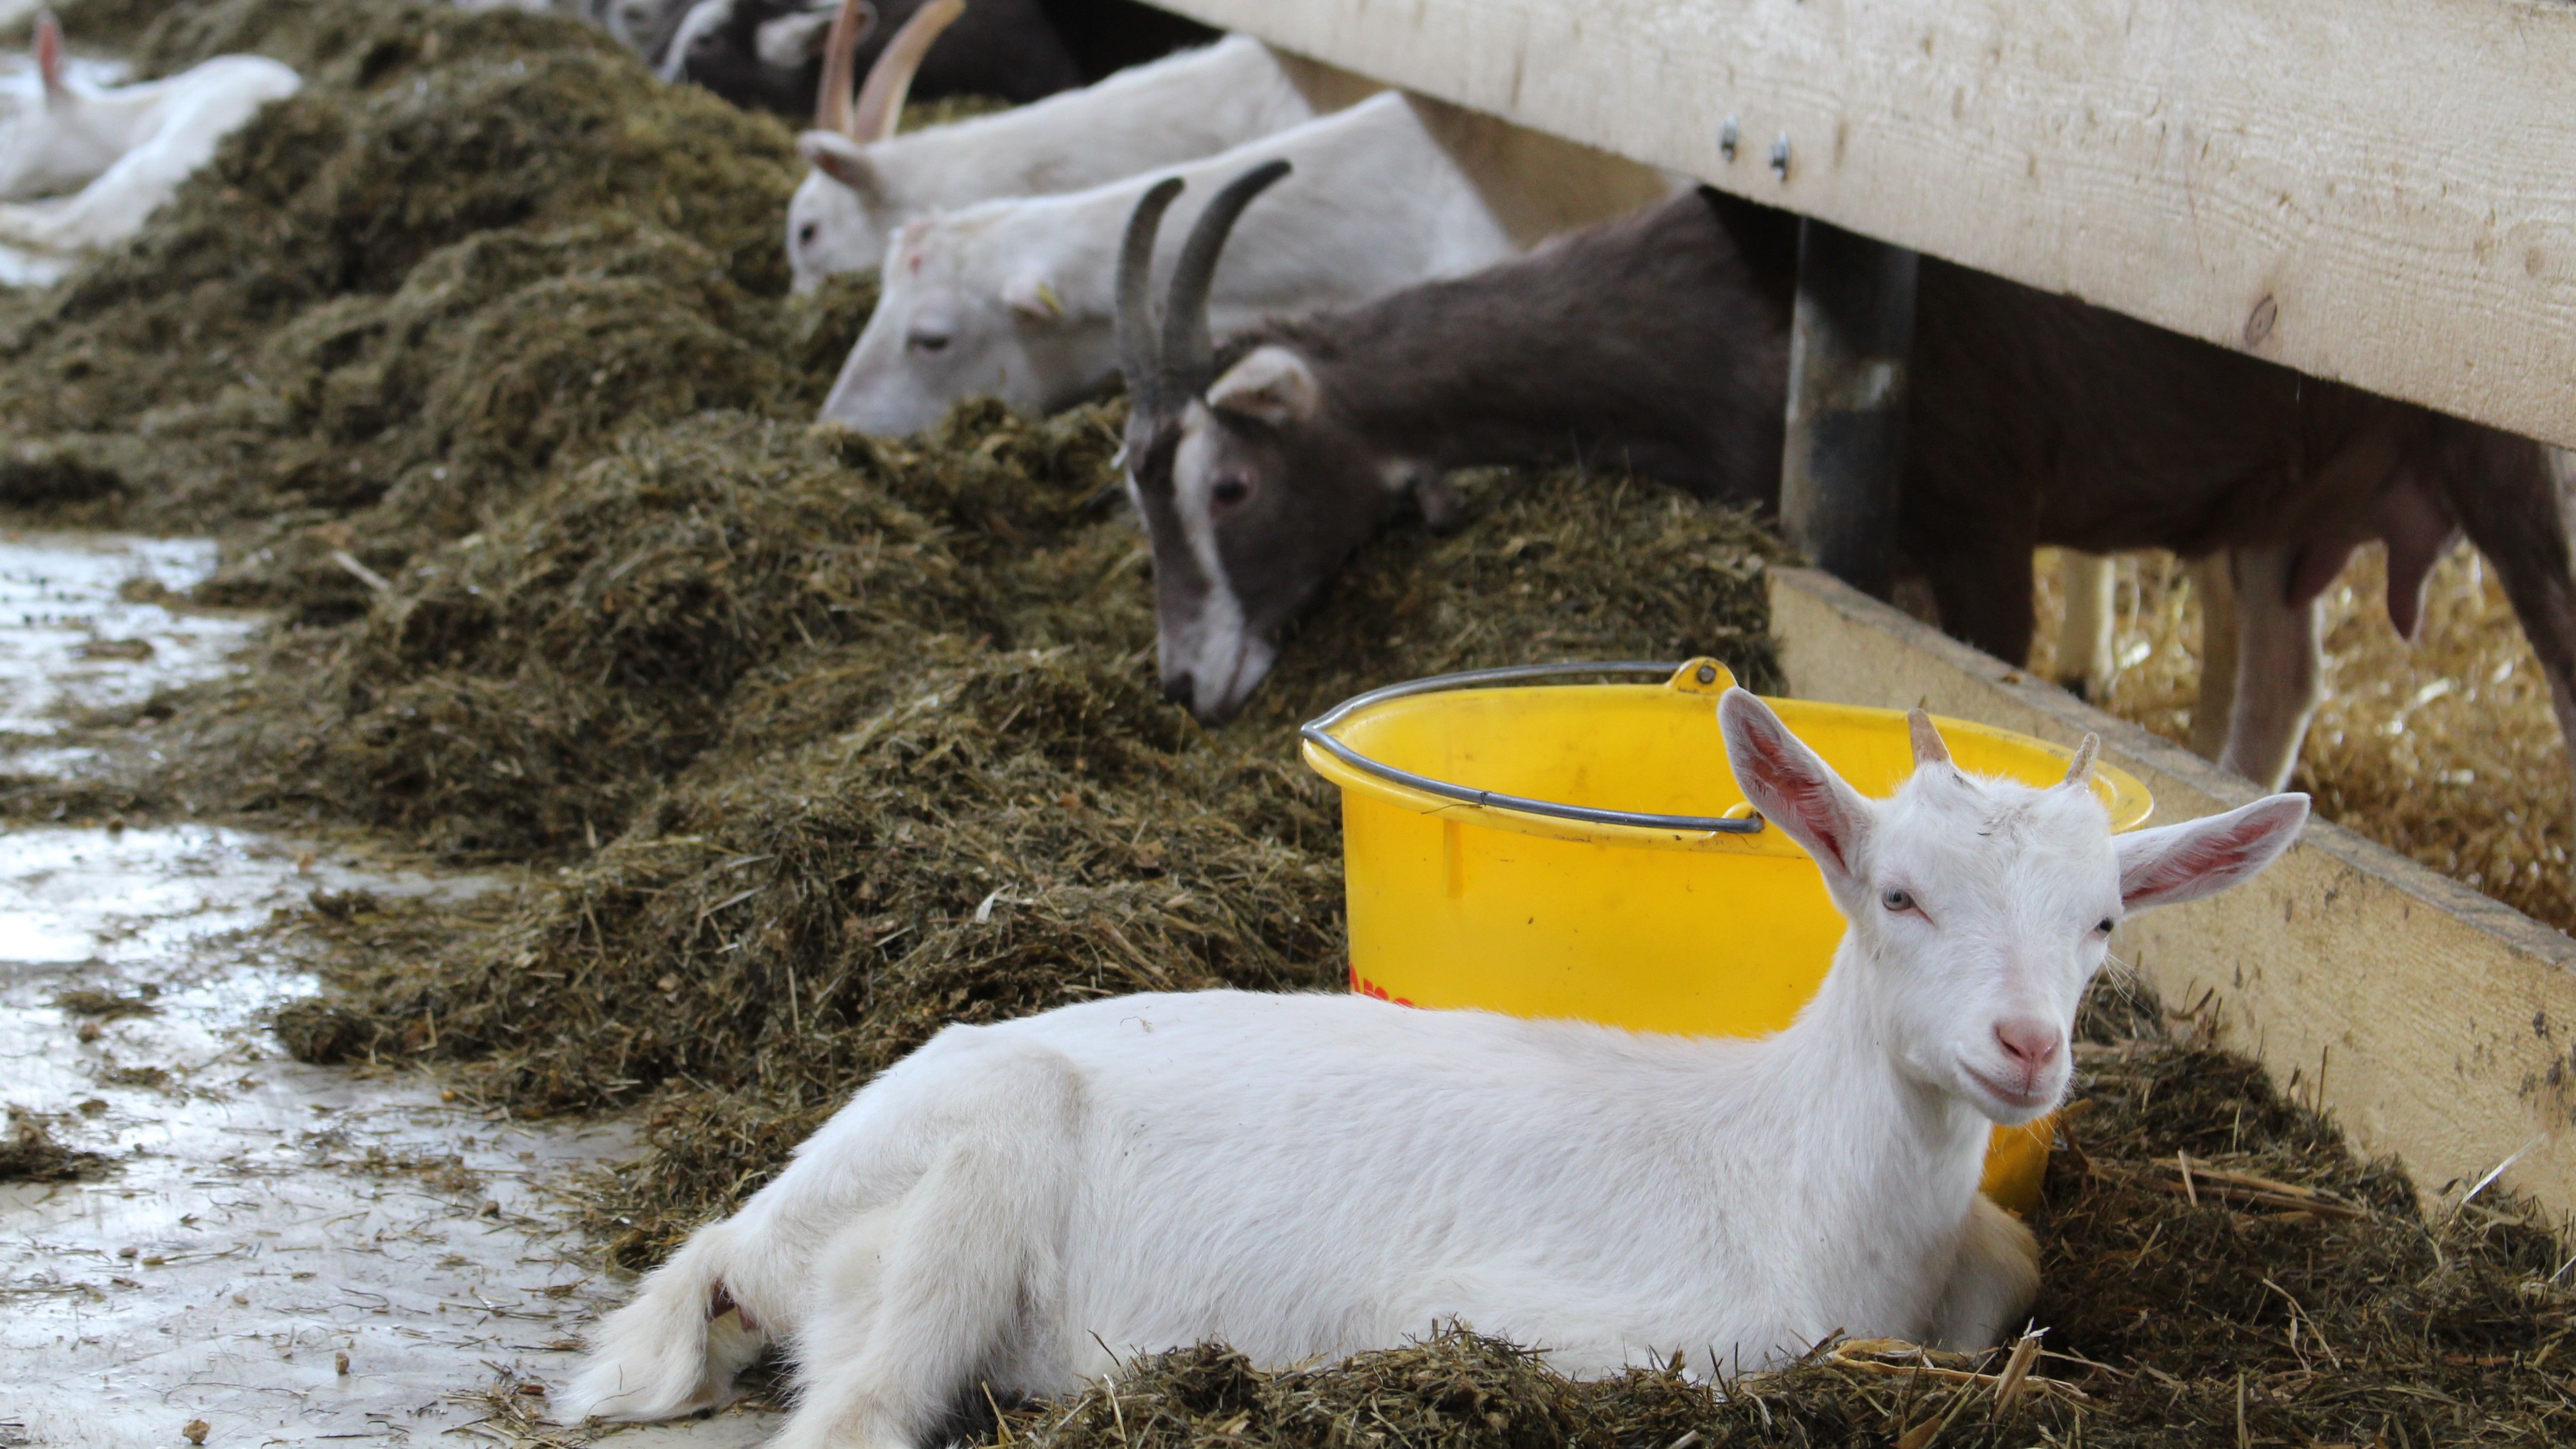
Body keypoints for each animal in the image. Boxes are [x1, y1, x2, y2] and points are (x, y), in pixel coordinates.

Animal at [559, 691, 2309, 1444]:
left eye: (2103, 923)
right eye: (1898, 895)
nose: (2026, 1048)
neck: (1796, 1175)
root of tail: (752, 1227)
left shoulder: (1984, 1254)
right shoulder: (1631, 1322)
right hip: (955, 1197)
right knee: (857, 1411)